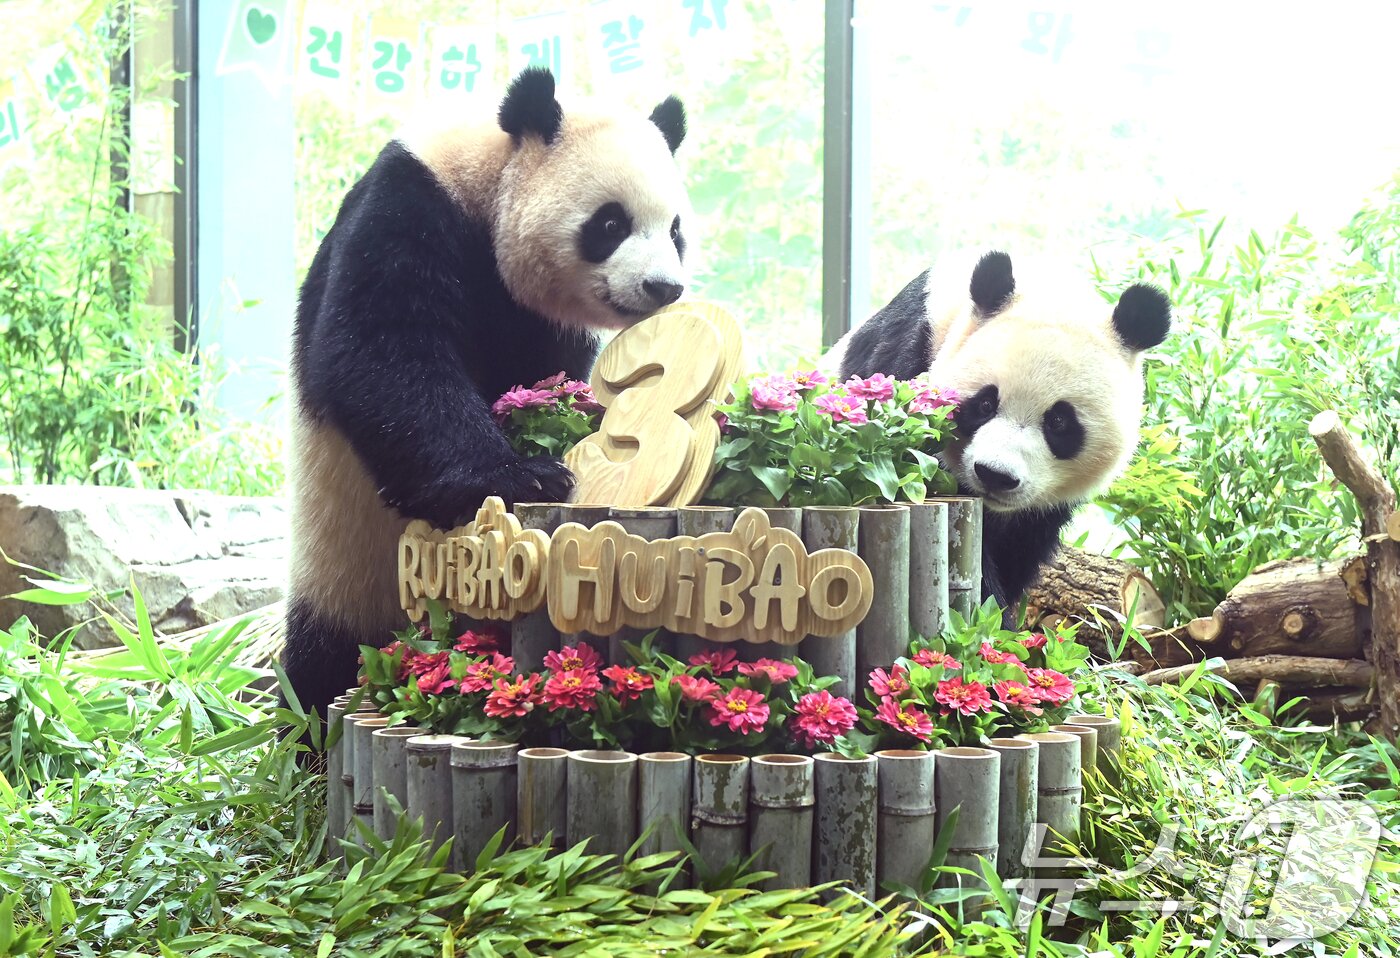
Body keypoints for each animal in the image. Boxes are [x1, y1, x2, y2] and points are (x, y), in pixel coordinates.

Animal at [284, 68, 691, 723]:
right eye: (610, 224)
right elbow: (383, 353)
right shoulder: (409, 206)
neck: (490, 177)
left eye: (675, 230)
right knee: (322, 663)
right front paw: (525, 476)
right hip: (340, 559)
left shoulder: (544, 320)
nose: (663, 287)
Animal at [826, 251, 1171, 616]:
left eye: (1059, 422)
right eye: (986, 404)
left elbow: (1019, 550)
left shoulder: (1041, 513)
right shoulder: (906, 359)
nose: (995, 475)